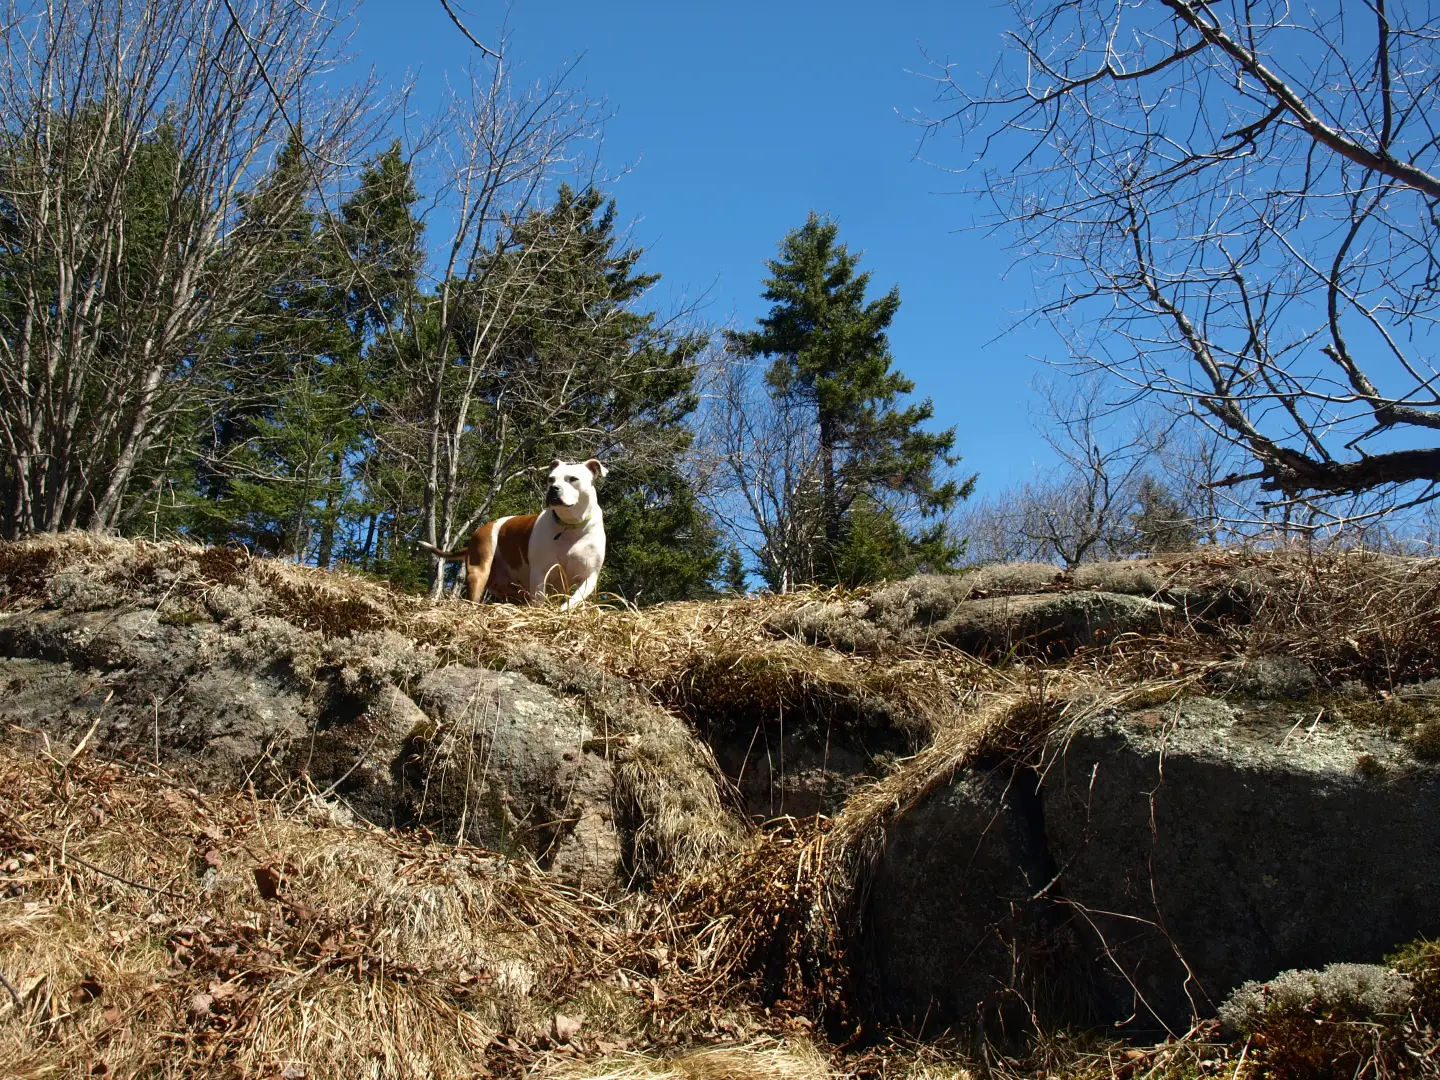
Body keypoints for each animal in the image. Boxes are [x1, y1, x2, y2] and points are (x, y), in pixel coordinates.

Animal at [420, 457, 613, 610]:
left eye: (573, 479)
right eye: (551, 479)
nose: (553, 489)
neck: (570, 525)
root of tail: (481, 530)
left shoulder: (589, 576)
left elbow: (574, 599)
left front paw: (562, 612)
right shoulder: (540, 572)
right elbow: (539, 598)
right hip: (479, 569)